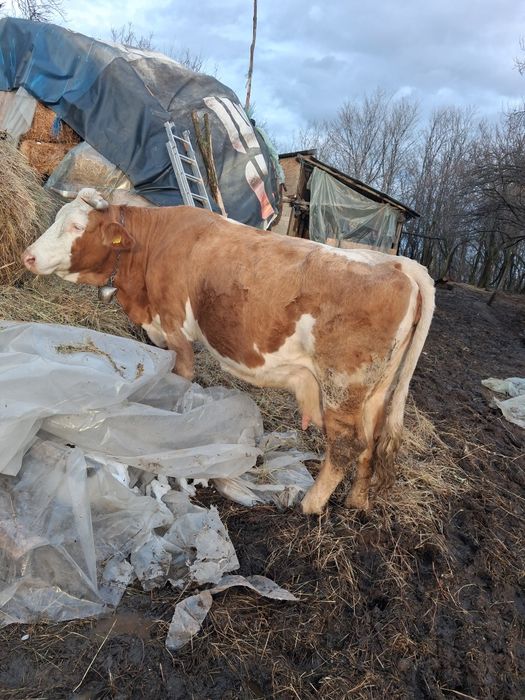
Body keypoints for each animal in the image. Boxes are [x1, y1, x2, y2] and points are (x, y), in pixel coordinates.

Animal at [22, 188, 435, 514]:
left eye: (77, 227)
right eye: (58, 218)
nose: (28, 256)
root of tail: (397, 264)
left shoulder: (175, 329)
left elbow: (183, 381)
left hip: (342, 386)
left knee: (347, 445)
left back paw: (312, 503)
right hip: (376, 391)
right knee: (371, 442)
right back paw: (357, 500)